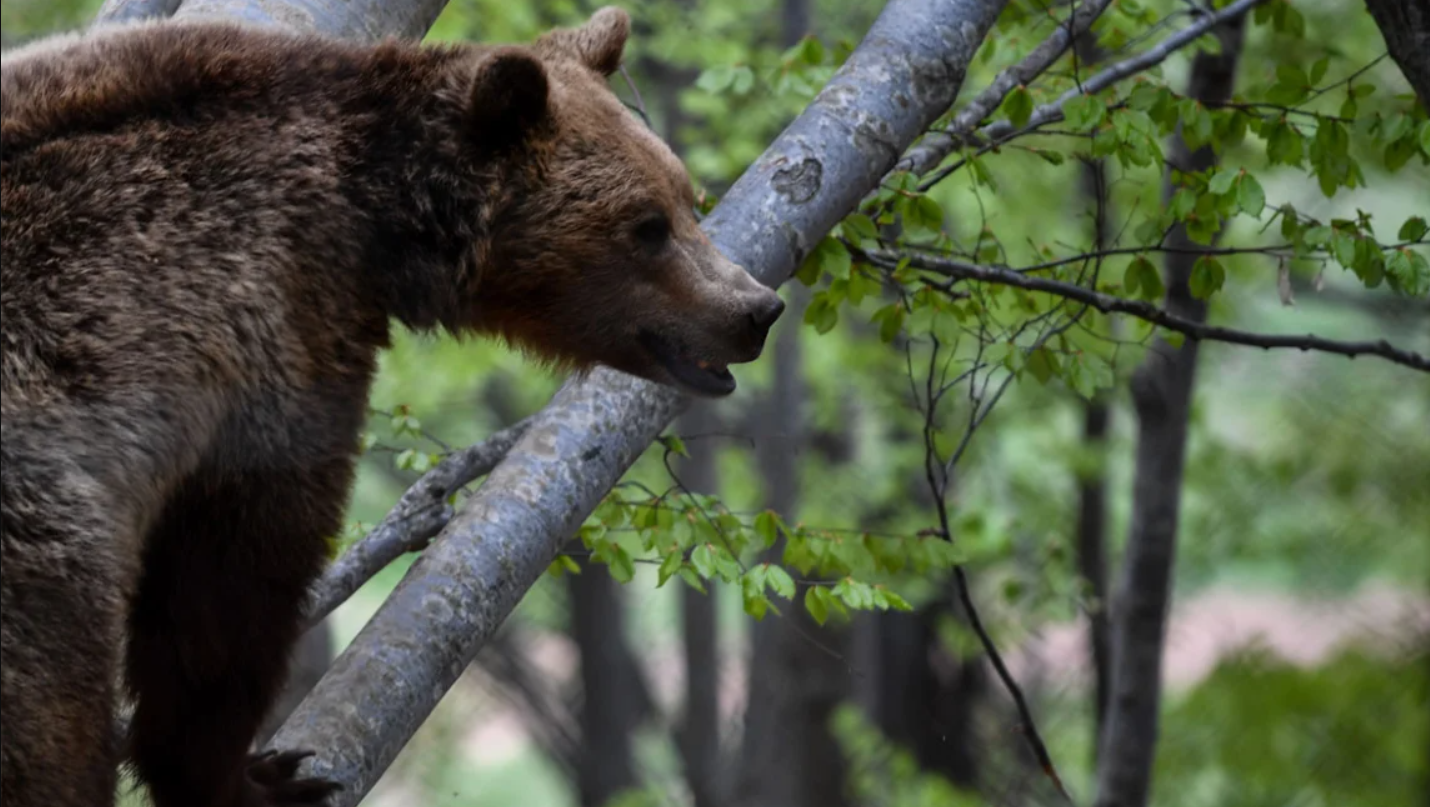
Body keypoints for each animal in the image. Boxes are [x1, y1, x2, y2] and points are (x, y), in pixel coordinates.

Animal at [0, 7, 783, 807]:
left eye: (685, 197)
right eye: (647, 225)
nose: (755, 308)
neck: (373, 220)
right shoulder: (267, 324)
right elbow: (236, 574)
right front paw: (254, 775)